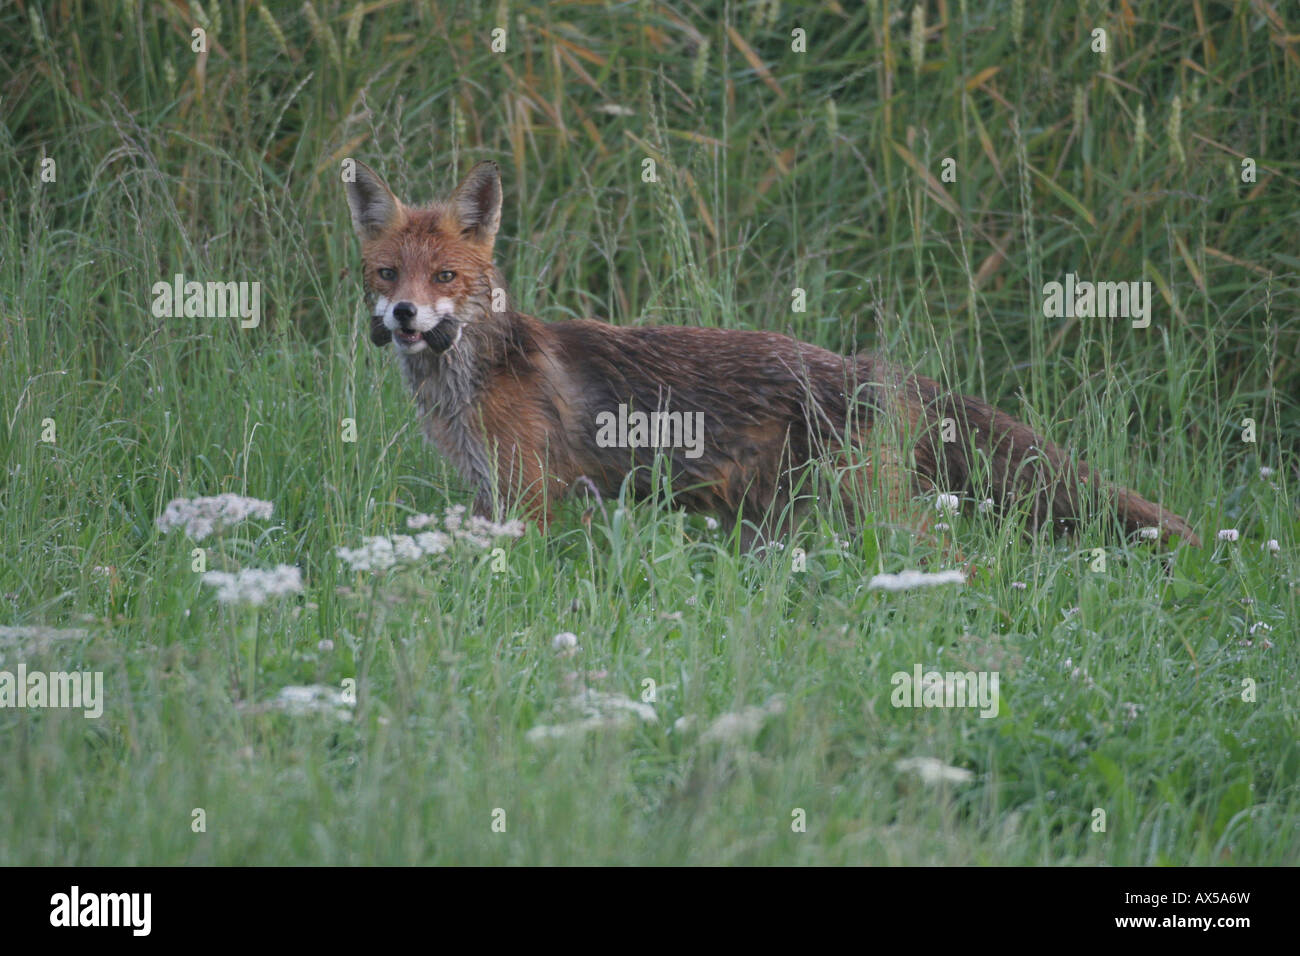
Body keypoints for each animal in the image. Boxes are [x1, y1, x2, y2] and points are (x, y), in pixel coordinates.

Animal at [343, 159, 1200, 550]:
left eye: (445, 277)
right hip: (775, 518)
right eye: (386, 274)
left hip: (867, 510)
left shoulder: (534, 500)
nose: (406, 314)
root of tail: (863, 366)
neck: (466, 378)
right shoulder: (490, 496)